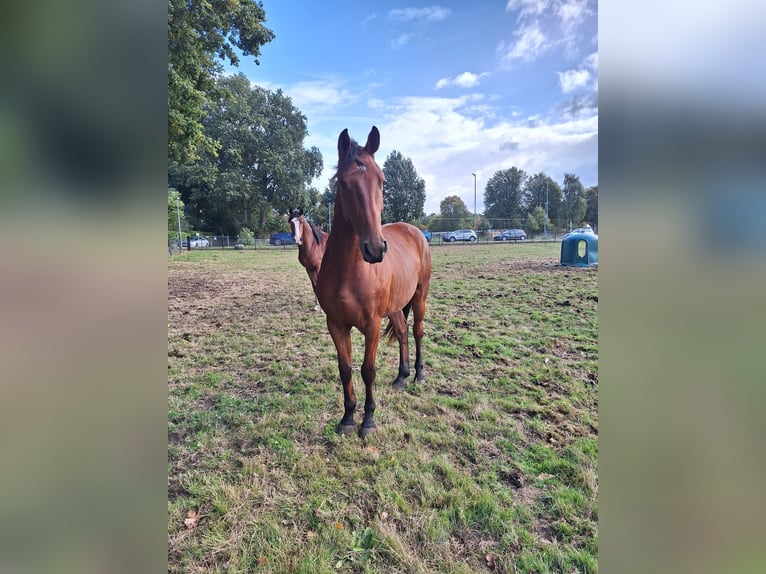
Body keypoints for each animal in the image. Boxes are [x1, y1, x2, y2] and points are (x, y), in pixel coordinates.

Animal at [315, 126, 432, 437]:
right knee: (402, 332)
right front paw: (347, 417)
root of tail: (416, 232)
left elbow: (368, 370)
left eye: (381, 180)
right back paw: (402, 377)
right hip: (396, 307)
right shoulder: (336, 324)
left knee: (417, 332)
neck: (349, 271)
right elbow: (345, 369)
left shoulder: (372, 324)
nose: (376, 248)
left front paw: (368, 420)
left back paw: (418, 374)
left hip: (419, 297)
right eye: (344, 184)